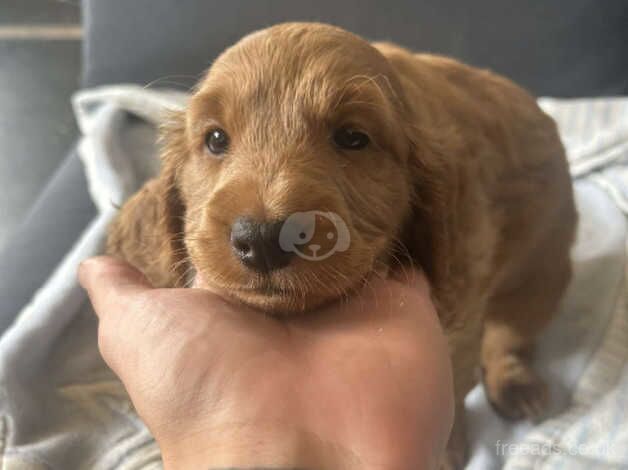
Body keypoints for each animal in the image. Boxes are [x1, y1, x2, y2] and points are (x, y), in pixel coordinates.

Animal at [105, 23, 576, 470]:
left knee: (509, 334)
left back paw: (516, 385)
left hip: (542, 273)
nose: (262, 239)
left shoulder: (463, 304)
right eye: (216, 139)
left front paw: (443, 451)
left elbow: (457, 385)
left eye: (352, 137)